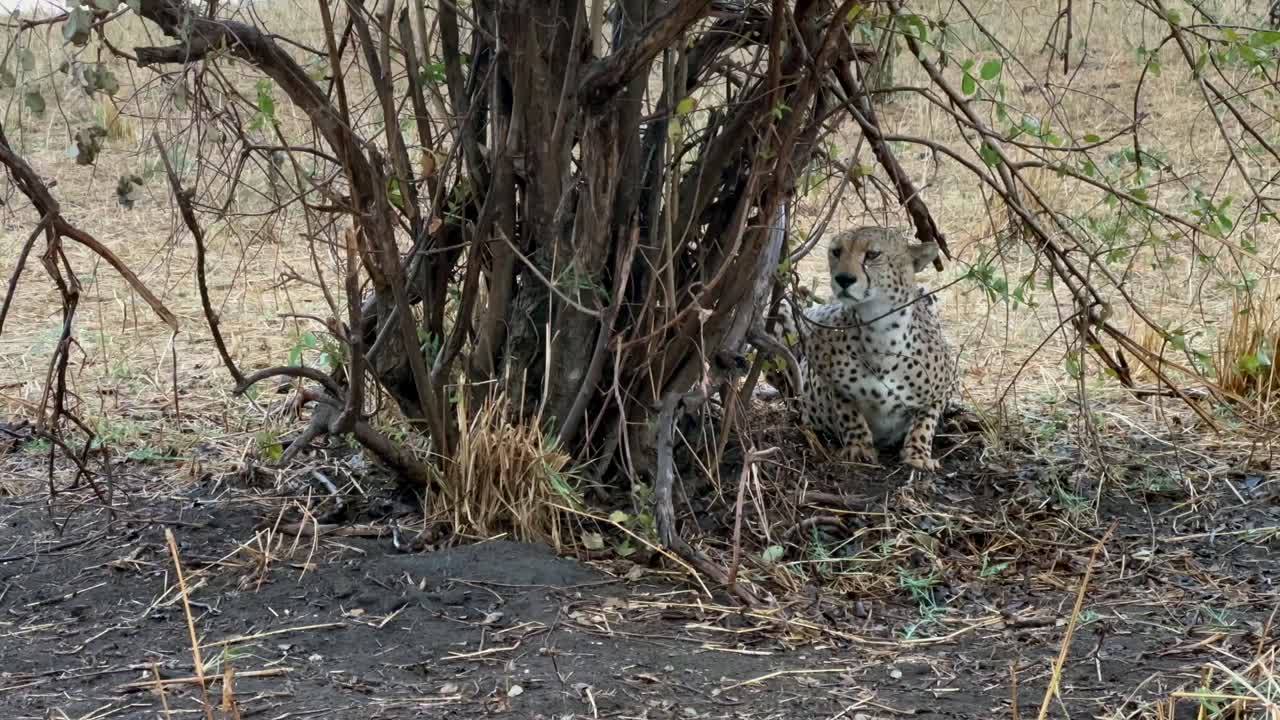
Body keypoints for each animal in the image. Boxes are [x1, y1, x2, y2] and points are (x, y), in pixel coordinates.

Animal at [773, 225, 956, 472]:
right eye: (837, 252)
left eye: (873, 254)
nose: (843, 279)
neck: (881, 331)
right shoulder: (824, 375)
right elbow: (848, 411)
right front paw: (859, 448)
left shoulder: (944, 385)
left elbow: (925, 421)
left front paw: (918, 454)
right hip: (780, 310)